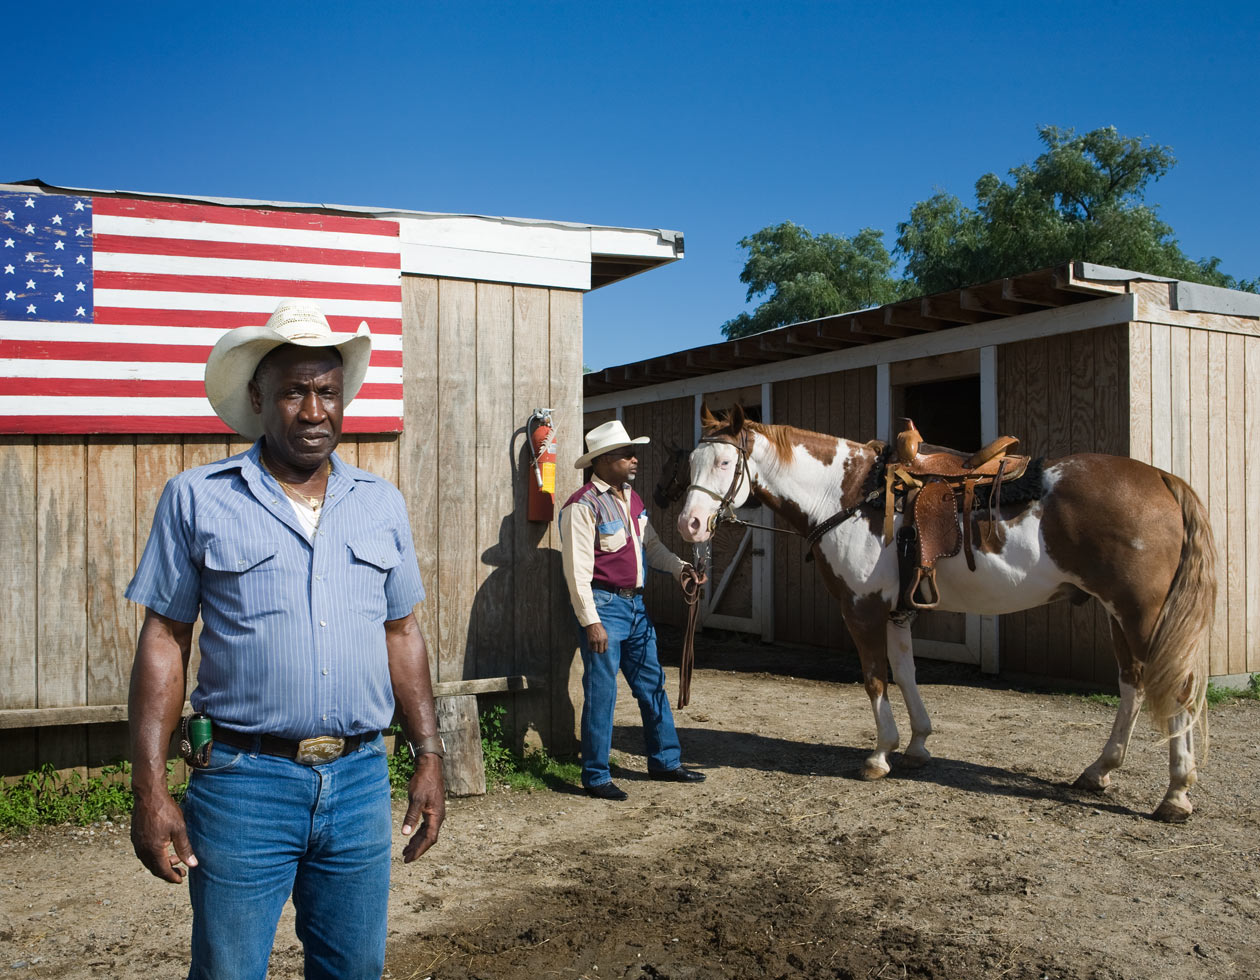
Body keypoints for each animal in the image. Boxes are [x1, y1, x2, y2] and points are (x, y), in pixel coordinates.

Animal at [680, 400, 1219, 821]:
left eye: (725, 462)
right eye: (691, 461)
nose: (690, 524)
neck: (848, 495)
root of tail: (1162, 478)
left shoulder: (861, 609)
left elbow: (874, 677)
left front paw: (879, 755)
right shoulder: (896, 609)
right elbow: (905, 672)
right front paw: (917, 744)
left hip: (1141, 614)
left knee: (1176, 691)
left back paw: (1175, 795)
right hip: (1118, 614)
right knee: (1132, 684)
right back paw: (1100, 771)